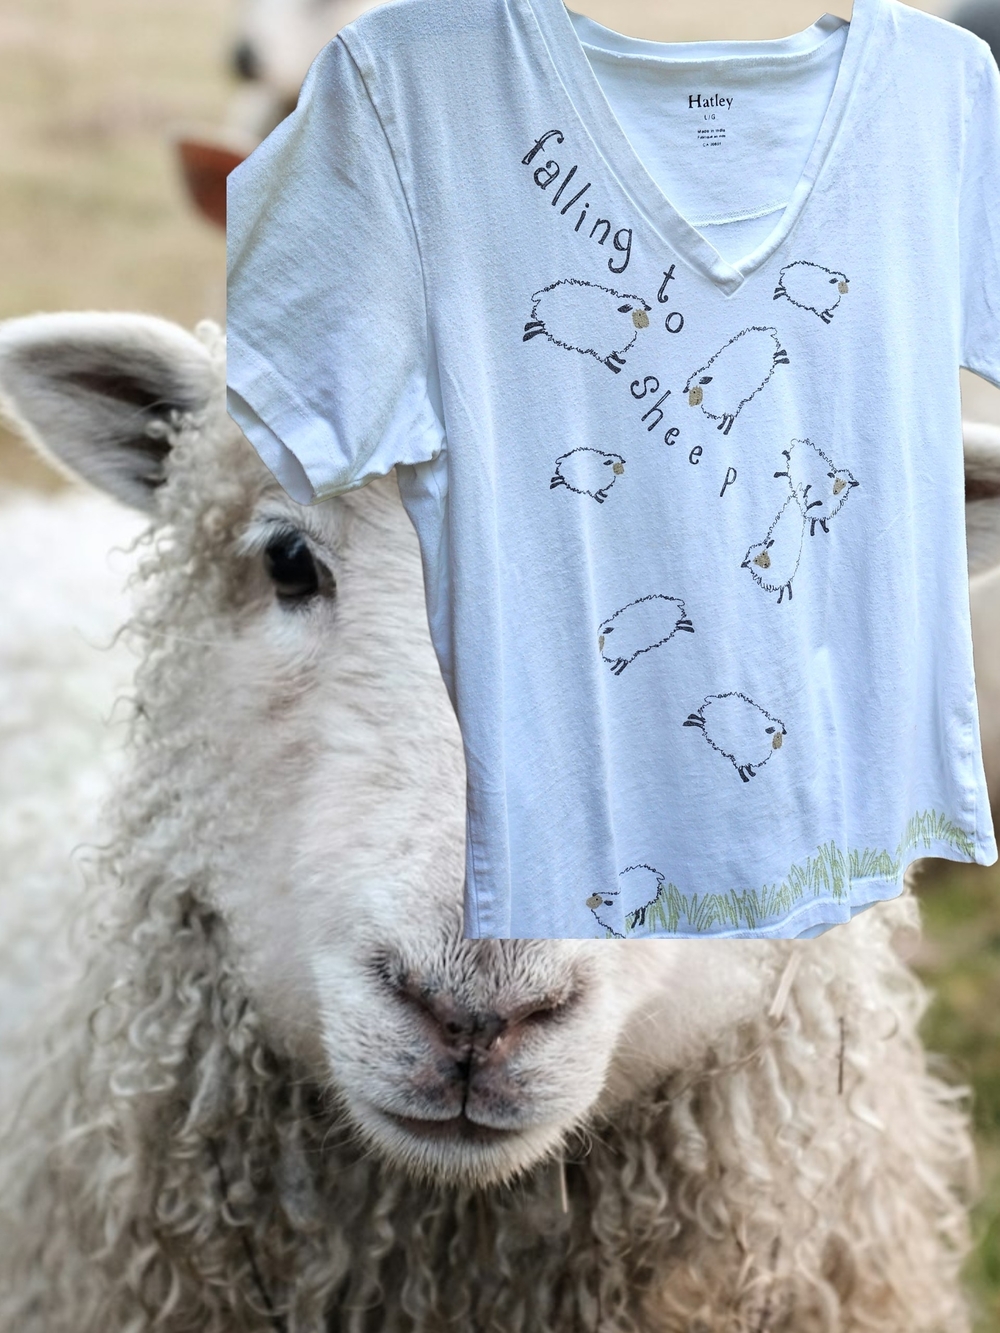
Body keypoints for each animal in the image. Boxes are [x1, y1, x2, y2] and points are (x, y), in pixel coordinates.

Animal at [523, 278, 652, 373]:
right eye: (639, 313)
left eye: (644, 312)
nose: (647, 324)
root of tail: (543, 295)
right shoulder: (604, 347)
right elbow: (607, 360)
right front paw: (616, 369)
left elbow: (614, 355)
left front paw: (621, 361)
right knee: (541, 327)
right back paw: (527, 333)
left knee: (540, 326)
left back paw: (527, 331)